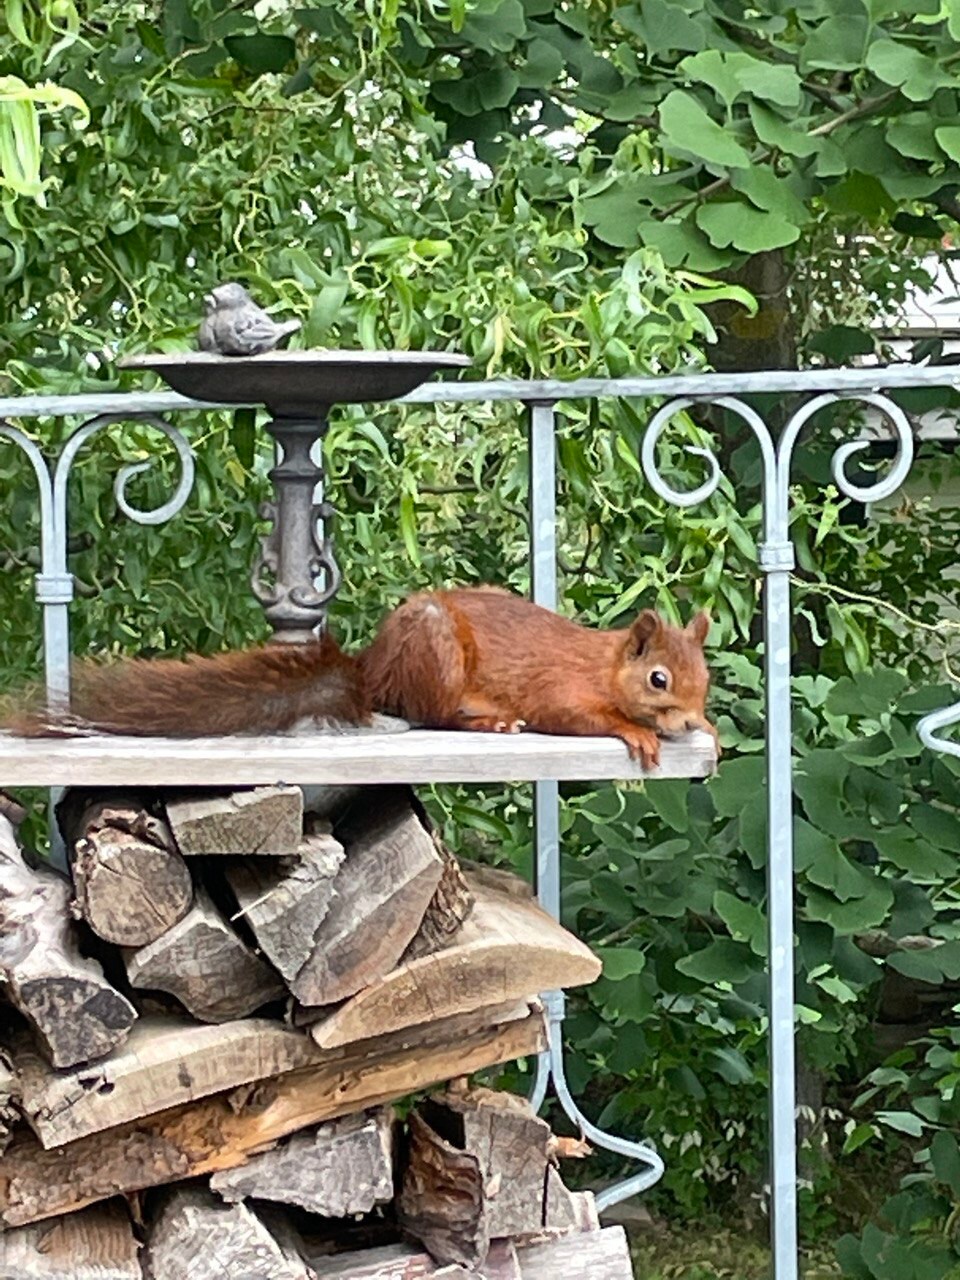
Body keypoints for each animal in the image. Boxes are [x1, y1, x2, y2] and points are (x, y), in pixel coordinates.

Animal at [11, 586, 711, 762]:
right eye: (658, 679)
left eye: (702, 679)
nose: (688, 720)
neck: (605, 664)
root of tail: (371, 672)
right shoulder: (560, 687)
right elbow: (576, 716)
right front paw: (636, 731)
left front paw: (711, 731)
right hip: (435, 654)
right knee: (433, 714)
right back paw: (487, 720)